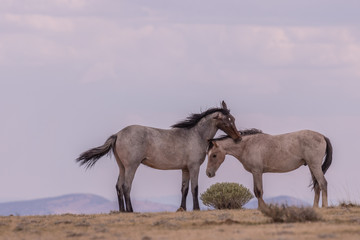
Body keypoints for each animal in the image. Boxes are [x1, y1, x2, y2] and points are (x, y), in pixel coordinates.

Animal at [76, 101, 240, 212]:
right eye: (227, 120)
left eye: (233, 119)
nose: (238, 138)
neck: (195, 135)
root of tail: (118, 134)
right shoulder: (194, 167)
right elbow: (194, 188)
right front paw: (196, 209)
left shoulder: (185, 169)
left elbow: (184, 189)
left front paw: (181, 208)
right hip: (131, 166)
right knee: (126, 186)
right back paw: (130, 211)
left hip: (122, 167)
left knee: (118, 186)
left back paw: (122, 211)